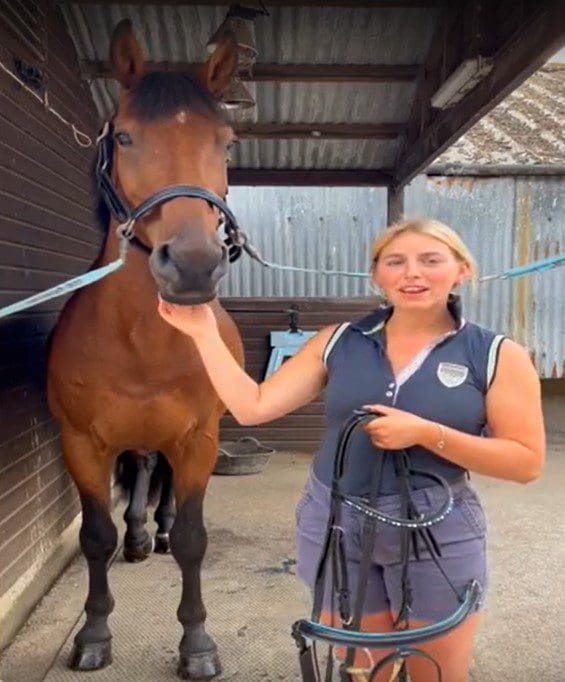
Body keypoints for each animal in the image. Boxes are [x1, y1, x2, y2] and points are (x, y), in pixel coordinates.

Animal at [45, 18, 242, 676]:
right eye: (126, 136)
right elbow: (95, 537)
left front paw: (197, 644)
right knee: (143, 471)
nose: (194, 265)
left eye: (225, 143)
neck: (141, 344)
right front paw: (94, 633)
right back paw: (137, 533)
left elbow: (192, 541)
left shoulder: (198, 440)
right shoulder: (82, 444)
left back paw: (153, 531)